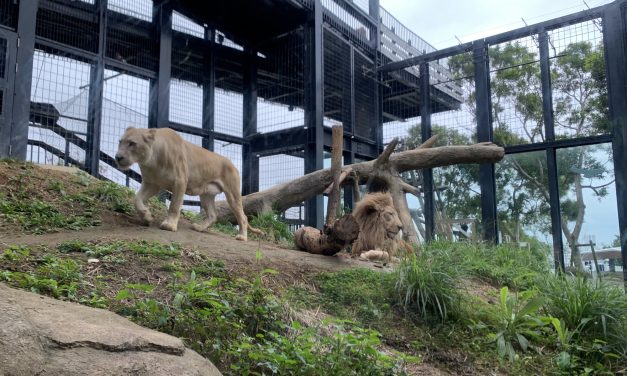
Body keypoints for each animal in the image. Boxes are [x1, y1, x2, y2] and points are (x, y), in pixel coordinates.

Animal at [114, 127, 262, 241]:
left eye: (132, 143)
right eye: (120, 142)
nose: (117, 157)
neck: (151, 160)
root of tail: (232, 164)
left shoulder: (180, 181)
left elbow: (174, 206)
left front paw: (169, 225)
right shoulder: (152, 184)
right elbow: (136, 199)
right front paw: (146, 216)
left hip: (232, 194)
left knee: (242, 216)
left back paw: (242, 237)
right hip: (206, 195)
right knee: (213, 215)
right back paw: (199, 227)